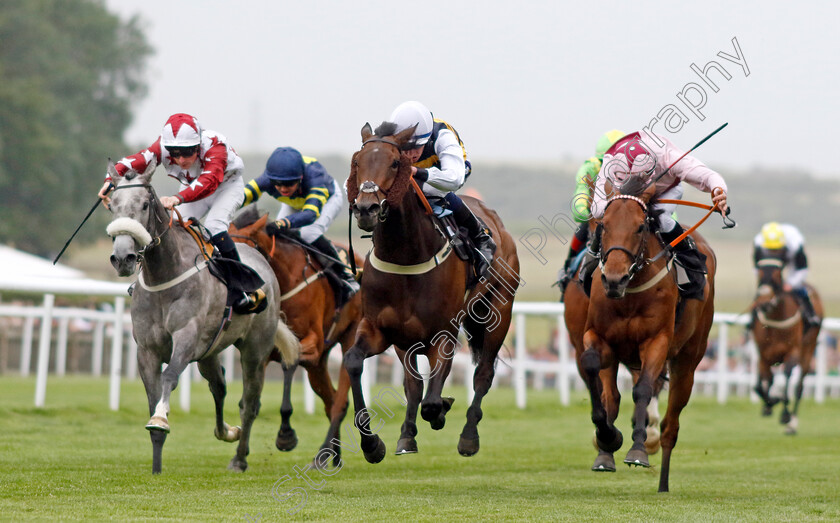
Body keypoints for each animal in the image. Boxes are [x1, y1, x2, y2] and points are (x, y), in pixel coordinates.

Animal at [104, 163, 300, 474]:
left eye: (145, 205)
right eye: (112, 206)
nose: (123, 258)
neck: (164, 275)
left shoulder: (185, 337)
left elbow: (169, 377)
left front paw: (161, 419)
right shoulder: (146, 349)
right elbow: (153, 394)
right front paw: (156, 462)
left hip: (255, 350)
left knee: (249, 402)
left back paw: (239, 458)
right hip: (209, 351)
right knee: (218, 387)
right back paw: (227, 432)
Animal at [228, 209, 362, 466]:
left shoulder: (313, 342)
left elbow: (289, 365)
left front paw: (285, 435)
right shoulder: (264, 350)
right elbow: (250, 399)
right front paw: (242, 449)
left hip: (350, 338)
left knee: (340, 403)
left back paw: (323, 454)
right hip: (318, 366)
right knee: (330, 400)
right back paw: (334, 456)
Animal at [342, 123, 520, 462]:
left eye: (395, 163)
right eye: (357, 161)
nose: (366, 208)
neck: (405, 255)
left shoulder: (444, 334)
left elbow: (433, 400)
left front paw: (442, 411)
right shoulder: (380, 329)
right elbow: (355, 362)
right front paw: (372, 444)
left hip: (498, 313)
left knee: (483, 375)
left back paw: (468, 437)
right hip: (406, 342)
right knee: (413, 384)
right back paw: (407, 437)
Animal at [580, 182, 720, 494]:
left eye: (640, 227)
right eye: (604, 226)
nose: (614, 279)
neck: (630, 294)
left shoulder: (657, 342)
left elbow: (643, 389)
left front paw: (637, 451)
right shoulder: (600, 338)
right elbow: (591, 367)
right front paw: (608, 436)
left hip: (688, 362)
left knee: (671, 427)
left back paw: (663, 483)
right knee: (613, 395)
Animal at [752, 256, 824, 434]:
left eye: (777, 275)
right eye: (760, 273)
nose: (764, 303)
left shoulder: (793, 352)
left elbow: (785, 377)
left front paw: (784, 415)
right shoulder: (763, 355)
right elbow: (759, 384)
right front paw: (769, 405)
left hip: (808, 348)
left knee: (799, 386)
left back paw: (792, 423)